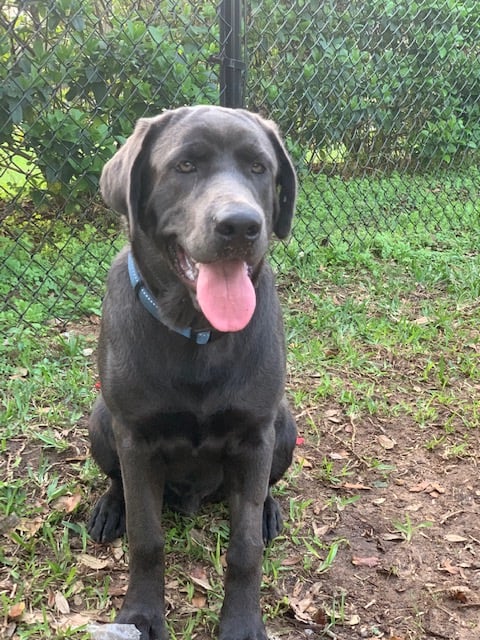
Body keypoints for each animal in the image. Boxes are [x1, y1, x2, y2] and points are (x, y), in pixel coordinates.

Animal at [86, 106, 296, 640]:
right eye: (185, 165)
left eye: (259, 167)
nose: (241, 225)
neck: (197, 331)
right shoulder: (135, 437)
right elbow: (147, 539)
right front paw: (141, 617)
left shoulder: (255, 435)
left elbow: (245, 549)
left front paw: (242, 623)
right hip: (100, 419)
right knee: (118, 481)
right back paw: (110, 508)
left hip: (284, 424)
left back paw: (268, 509)